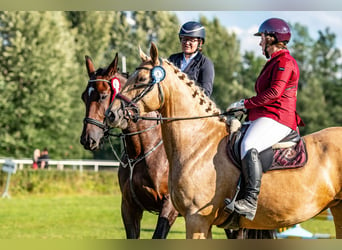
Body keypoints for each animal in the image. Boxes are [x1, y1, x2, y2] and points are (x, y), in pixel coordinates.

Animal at [79, 52, 276, 238]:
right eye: (83, 98)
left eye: (103, 95)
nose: (88, 139)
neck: (142, 152)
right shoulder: (129, 206)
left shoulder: (169, 206)